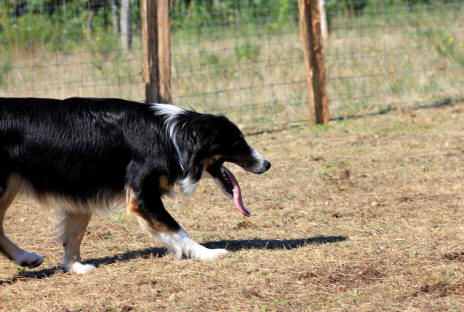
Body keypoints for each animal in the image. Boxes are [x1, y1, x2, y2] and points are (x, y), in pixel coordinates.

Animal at [0, 97, 270, 272]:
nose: (267, 164)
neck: (171, 136)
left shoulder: (82, 188)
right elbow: (178, 230)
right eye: (237, 142)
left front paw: (75, 267)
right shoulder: (142, 196)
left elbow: (74, 233)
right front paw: (207, 253)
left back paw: (25, 259)